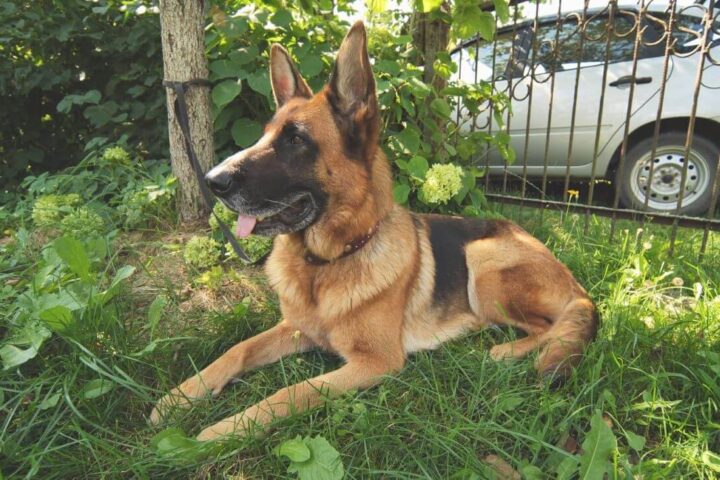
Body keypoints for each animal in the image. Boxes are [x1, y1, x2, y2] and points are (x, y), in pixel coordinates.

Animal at [150, 21, 597, 441]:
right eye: (264, 136)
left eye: (295, 140)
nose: (212, 181)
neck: (324, 264)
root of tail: (579, 288)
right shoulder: (296, 330)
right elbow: (237, 350)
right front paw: (182, 395)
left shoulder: (374, 362)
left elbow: (291, 393)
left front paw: (222, 431)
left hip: (483, 259)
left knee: (549, 328)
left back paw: (503, 348)